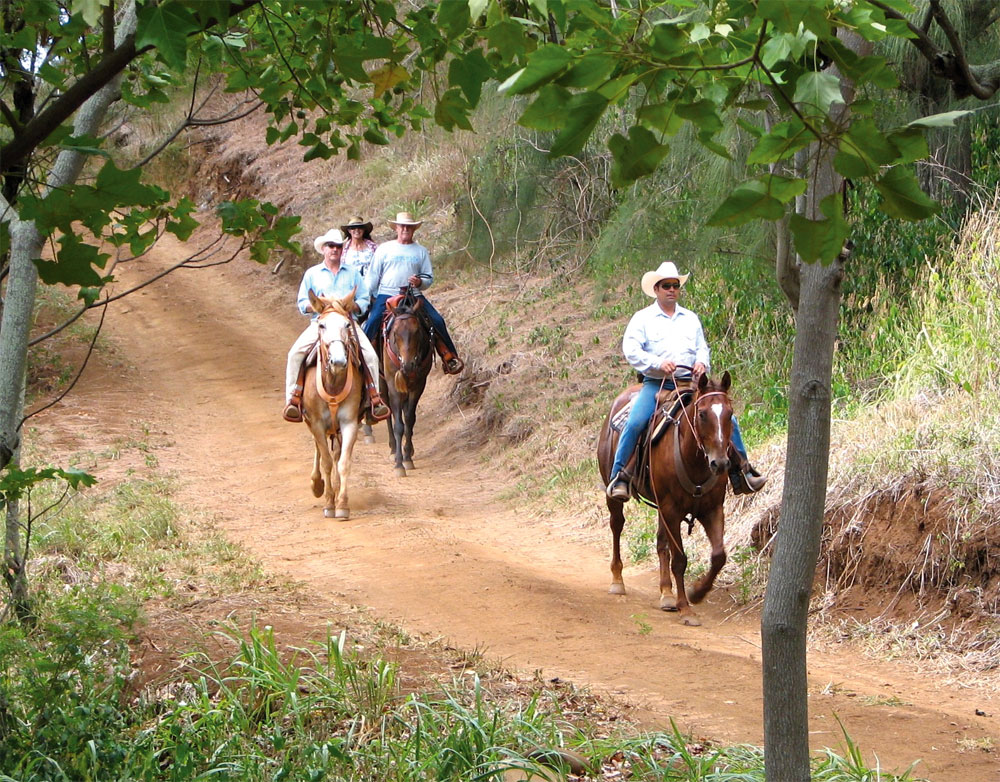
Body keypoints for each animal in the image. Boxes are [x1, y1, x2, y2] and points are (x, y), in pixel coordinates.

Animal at [378, 290, 434, 480]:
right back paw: (392, 448)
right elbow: (398, 425)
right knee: (388, 412)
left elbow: (409, 419)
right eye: (395, 333)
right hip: (382, 383)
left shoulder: (418, 385)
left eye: (417, 332)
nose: (408, 365)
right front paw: (398, 464)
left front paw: (408, 457)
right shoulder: (393, 385)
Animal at [592, 372, 736, 624]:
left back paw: (666, 594)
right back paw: (618, 581)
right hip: (615, 492)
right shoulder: (672, 510)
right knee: (617, 525)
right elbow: (679, 560)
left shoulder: (712, 509)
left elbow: (719, 556)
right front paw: (686, 608)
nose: (720, 463)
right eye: (702, 414)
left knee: (661, 543)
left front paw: (697, 593)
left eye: (730, 414)